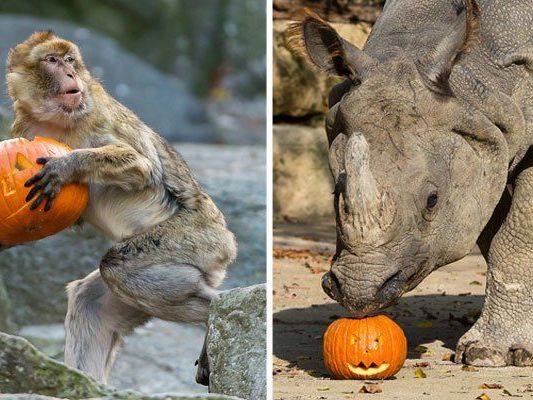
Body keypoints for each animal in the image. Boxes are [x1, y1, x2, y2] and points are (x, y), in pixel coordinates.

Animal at [4, 31, 237, 384]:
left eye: (69, 60)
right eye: (51, 61)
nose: (70, 74)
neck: (56, 119)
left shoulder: (98, 115)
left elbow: (142, 167)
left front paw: (68, 166)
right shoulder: (23, 130)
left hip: (199, 240)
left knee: (118, 266)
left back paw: (216, 308)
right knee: (89, 302)